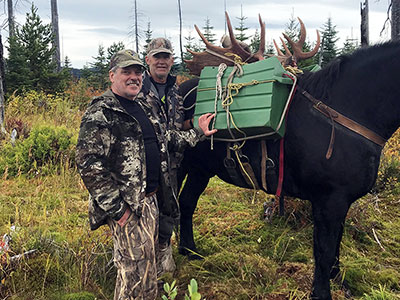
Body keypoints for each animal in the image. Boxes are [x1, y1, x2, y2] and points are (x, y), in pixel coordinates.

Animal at [177, 42, 400, 300]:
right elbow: (324, 250)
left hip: (200, 171)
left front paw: (338, 280)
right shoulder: (328, 200)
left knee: (186, 202)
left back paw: (189, 249)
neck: (347, 114)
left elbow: (336, 243)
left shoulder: (342, 201)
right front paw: (321, 292)